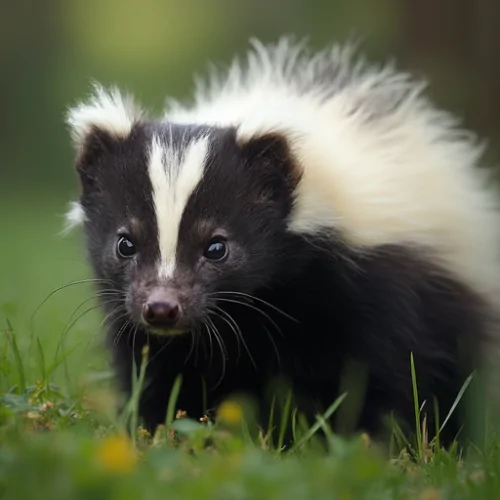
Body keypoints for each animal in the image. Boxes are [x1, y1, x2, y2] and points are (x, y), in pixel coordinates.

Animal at [64, 39, 500, 446]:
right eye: (125, 243)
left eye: (217, 247)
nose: (162, 308)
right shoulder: (134, 312)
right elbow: (156, 370)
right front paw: (158, 431)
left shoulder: (373, 289)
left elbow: (381, 376)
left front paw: (370, 441)